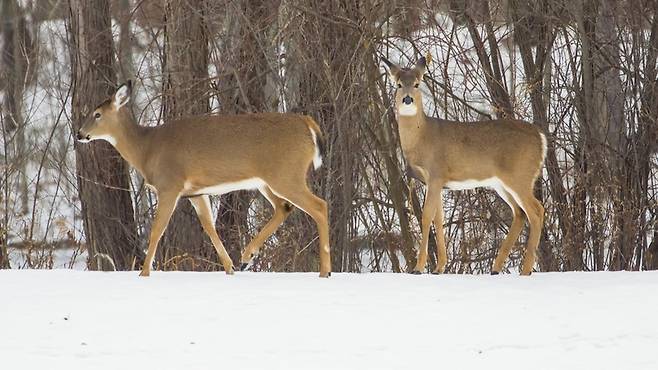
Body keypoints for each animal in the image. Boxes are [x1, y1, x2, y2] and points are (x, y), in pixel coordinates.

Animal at [77, 81, 330, 278]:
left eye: (97, 114)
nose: (79, 134)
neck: (146, 149)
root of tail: (308, 124)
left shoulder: (169, 185)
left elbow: (157, 229)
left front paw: (144, 272)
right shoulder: (196, 193)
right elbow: (209, 227)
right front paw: (229, 268)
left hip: (286, 174)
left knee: (319, 205)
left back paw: (324, 271)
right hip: (267, 181)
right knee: (284, 207)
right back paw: (246, 257)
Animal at [382, 57, 544, 274]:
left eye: (416, 84)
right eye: (399, 85)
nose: (407, 99)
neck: (422, 138)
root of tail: (541, 137)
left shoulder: (436, 173)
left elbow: (426, 216)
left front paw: (418, 267)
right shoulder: (436, 182)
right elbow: (438, 219)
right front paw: (439, 267)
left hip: (520, 176)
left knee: (536, 210)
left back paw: (525, 270)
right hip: (502, 183)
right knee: (519, 213)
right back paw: (496, 268)